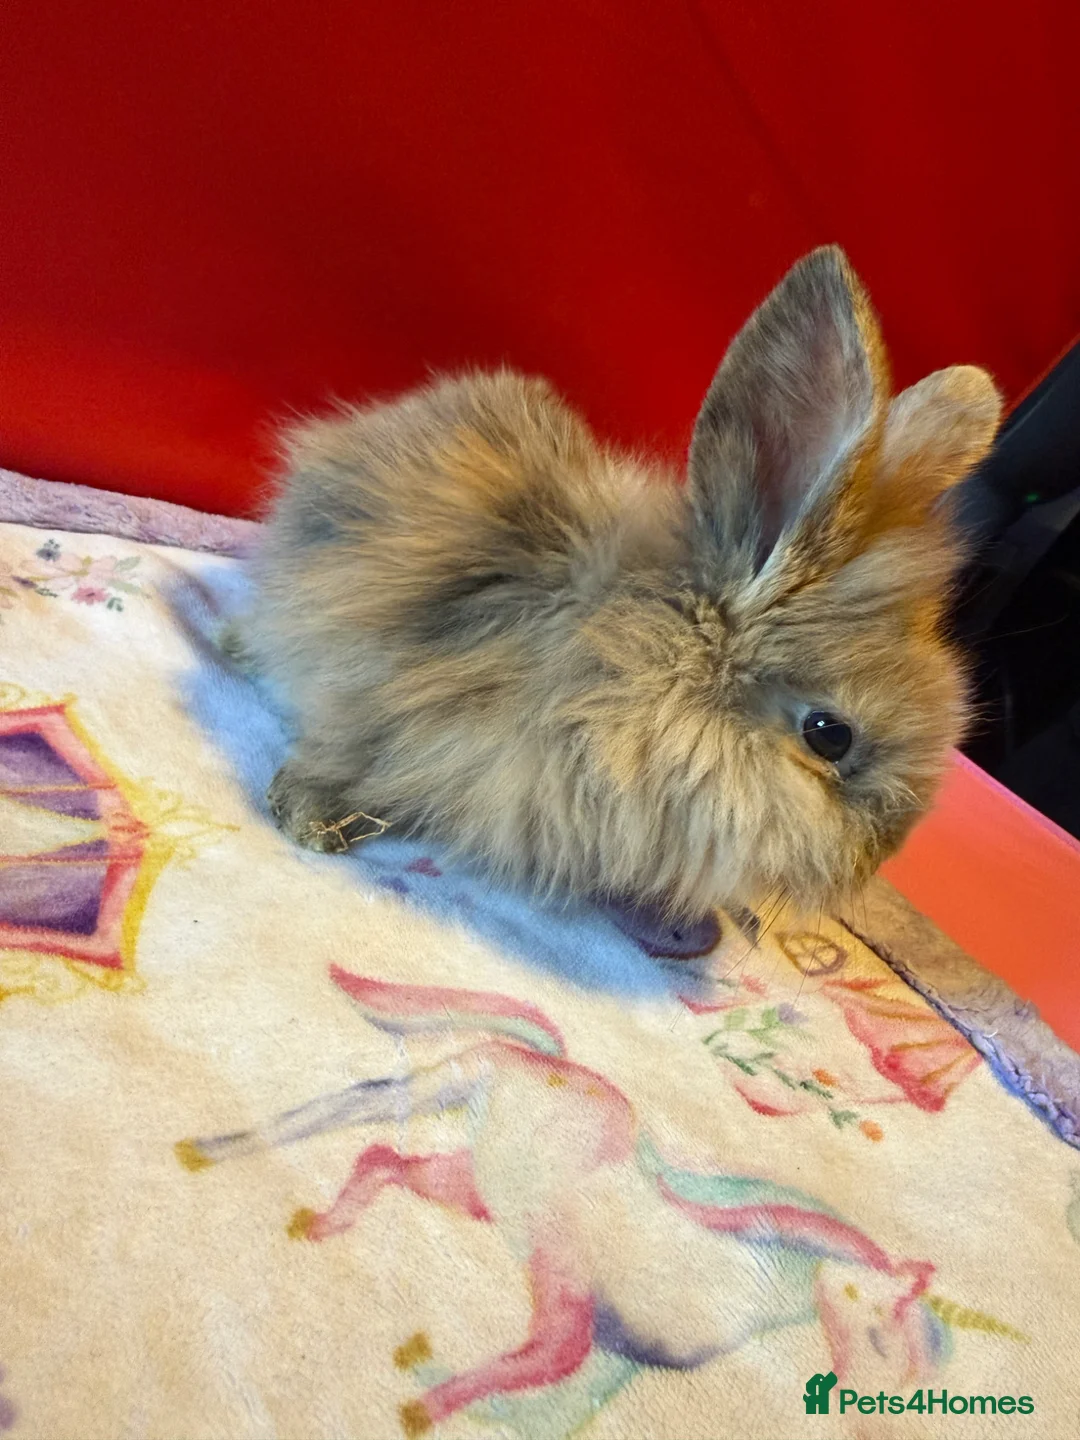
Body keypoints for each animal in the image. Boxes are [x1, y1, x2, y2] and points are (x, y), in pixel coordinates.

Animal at [228, 246, 1002, 923]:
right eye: (828, 735)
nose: (871, 864)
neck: (619, 664)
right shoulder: (379, 692)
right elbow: (345, 747)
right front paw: (312, 822)